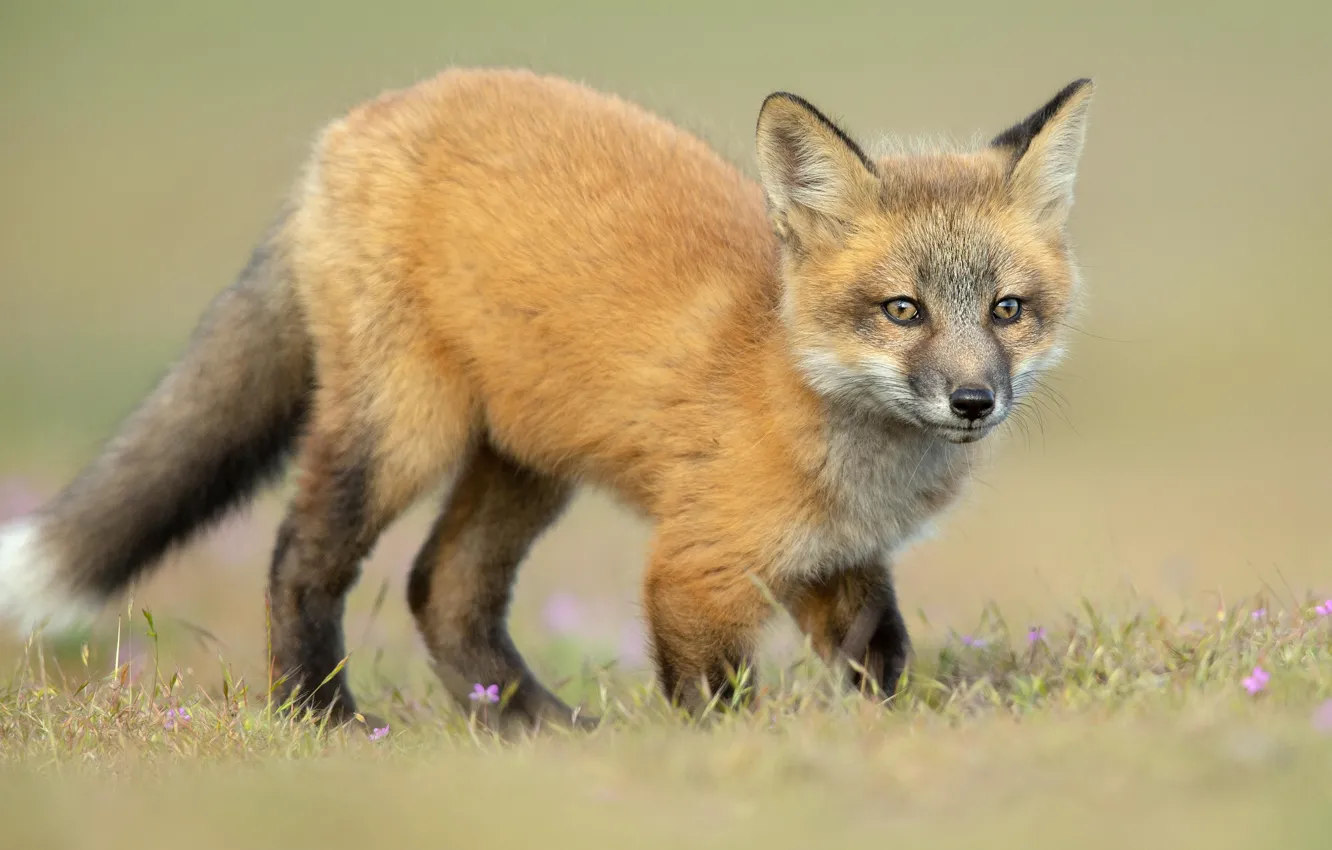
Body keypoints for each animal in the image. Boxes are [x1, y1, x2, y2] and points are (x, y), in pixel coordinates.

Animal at [0, 67, 1093, 729]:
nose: (972, 401)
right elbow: (716, 699)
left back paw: (536, 728)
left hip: (525, 462)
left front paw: (880, 740)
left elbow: (883, 658)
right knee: (302, 557)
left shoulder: (835, 563)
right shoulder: (694, 567)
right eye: (903, 310)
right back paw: (324, 718)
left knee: (442, 589)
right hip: (403, 430)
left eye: (1007, 309)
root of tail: (364, 120)